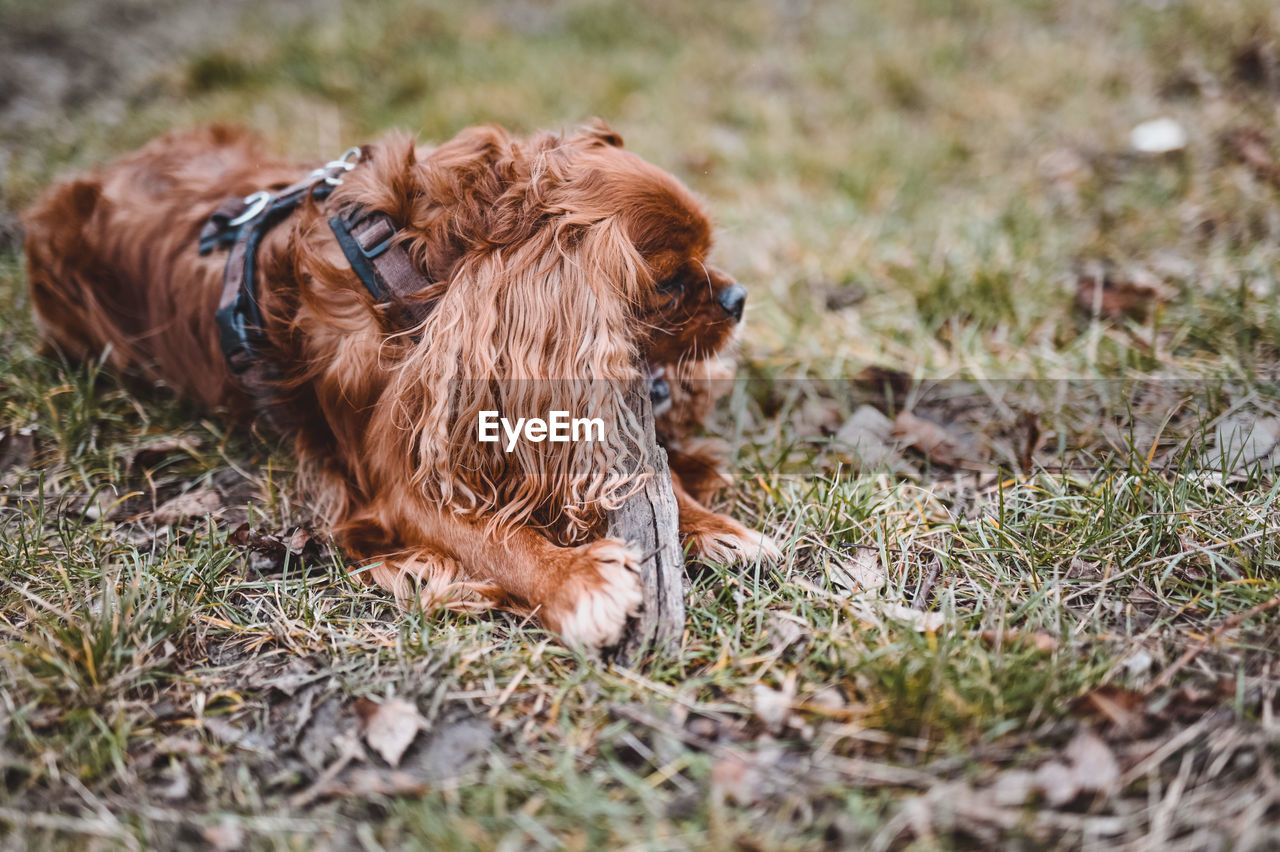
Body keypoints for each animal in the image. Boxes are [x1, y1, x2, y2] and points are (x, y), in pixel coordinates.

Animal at [22, 119, 778, 647]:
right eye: (671, 284)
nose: (738, 297)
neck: (416, 271)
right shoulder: (394, 487)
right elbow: (492, 539)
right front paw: (577, 581)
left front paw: (716, 528)